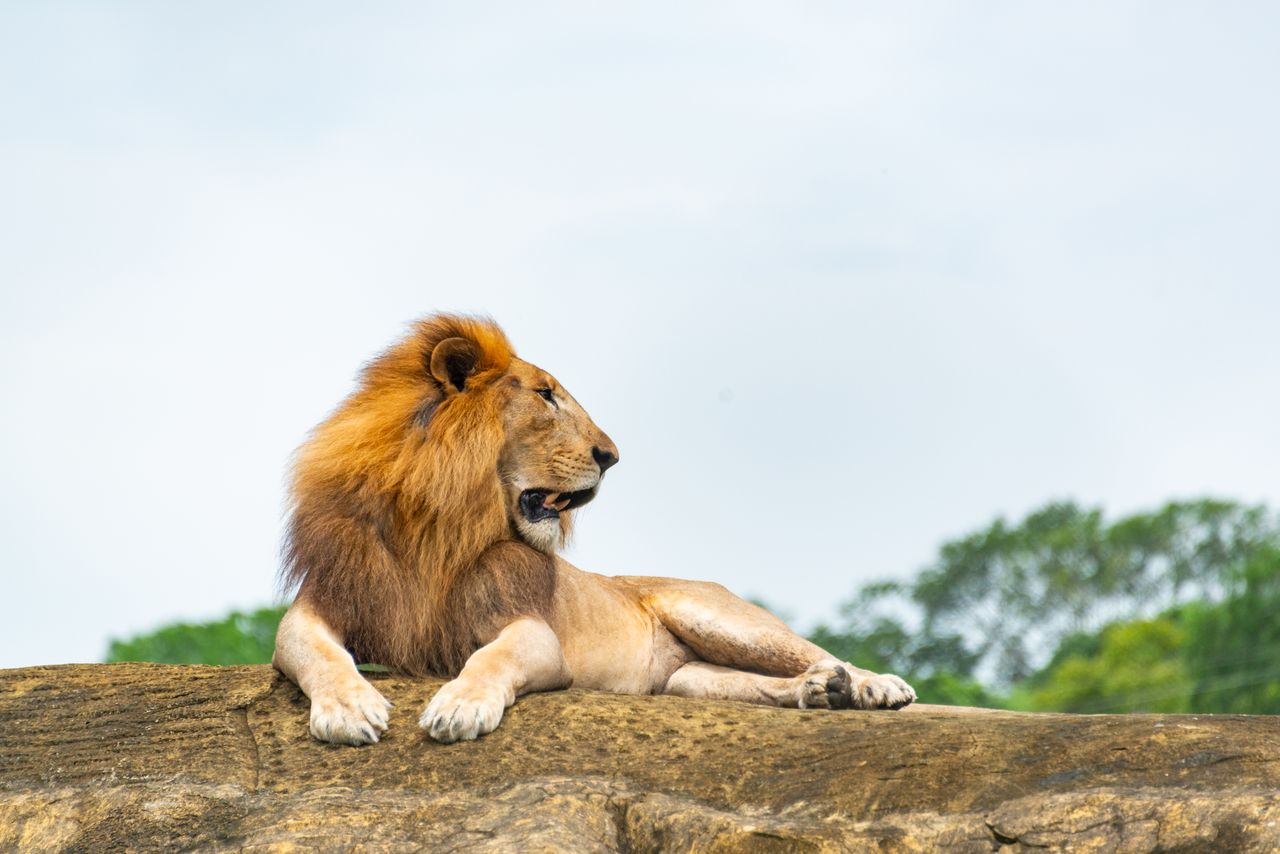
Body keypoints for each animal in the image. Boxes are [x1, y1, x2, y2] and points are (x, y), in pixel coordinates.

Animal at [273, 314, 915, 745]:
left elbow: (492, 658)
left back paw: (872, 686)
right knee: (759, 682)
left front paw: (458, 706)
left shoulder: (534, 633)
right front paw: (349, 709)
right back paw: (820, 691)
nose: (611, 456)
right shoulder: (321, 605)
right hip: (687, 681)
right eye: (545, 395)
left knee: (816, 651)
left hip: (718, 615)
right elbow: (314, 651)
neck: (436, 524)